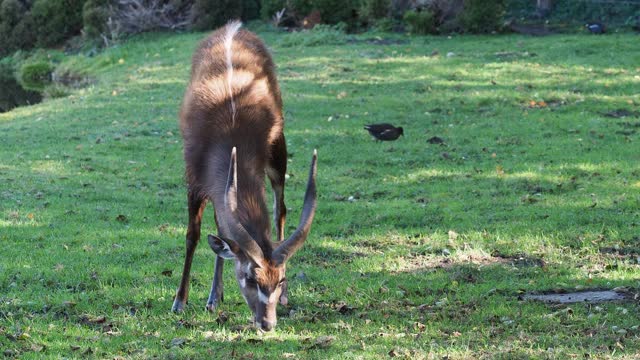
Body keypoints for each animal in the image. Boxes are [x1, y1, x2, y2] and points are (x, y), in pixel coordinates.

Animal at [171, 20, 318, 332]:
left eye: (280, 279)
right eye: (250, 277)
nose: (267, 322)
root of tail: (234, 26)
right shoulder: (194, 178)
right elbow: (193, 235)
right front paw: (179, 301)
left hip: (278, 150)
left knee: (280, 209)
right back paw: (213, 297)